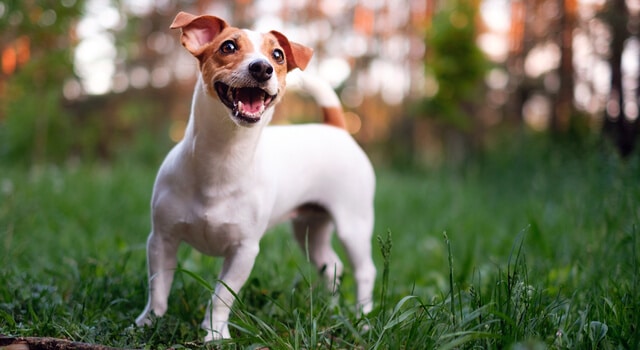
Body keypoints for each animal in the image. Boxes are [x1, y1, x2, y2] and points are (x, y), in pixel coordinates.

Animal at [134, 11, 376, 342]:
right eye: (228, 46)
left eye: (278, 55)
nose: (262, 67)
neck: (222, 158)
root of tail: (336, 127)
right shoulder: (162, 240)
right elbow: (158, 286)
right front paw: (149, 322)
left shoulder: (244, 251)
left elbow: (221, 297)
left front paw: (215, 334)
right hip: (310, 229)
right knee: (332, 265)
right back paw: (331, 306)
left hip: (353, 226)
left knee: (365, 271)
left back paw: (362, 318)